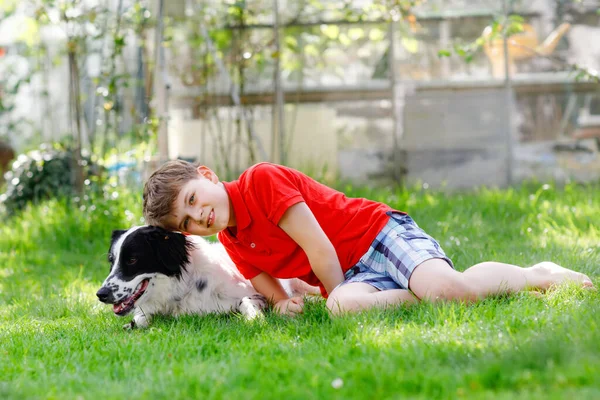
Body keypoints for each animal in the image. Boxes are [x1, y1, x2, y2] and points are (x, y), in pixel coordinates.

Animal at [96, 227, 314, 330]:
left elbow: (245, 302)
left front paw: (254, 318)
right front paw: (132, 323)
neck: (184, 289)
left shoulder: (255, 294)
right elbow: (141, 318)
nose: (101, 294)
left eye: (132, 259)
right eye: (111, 260)